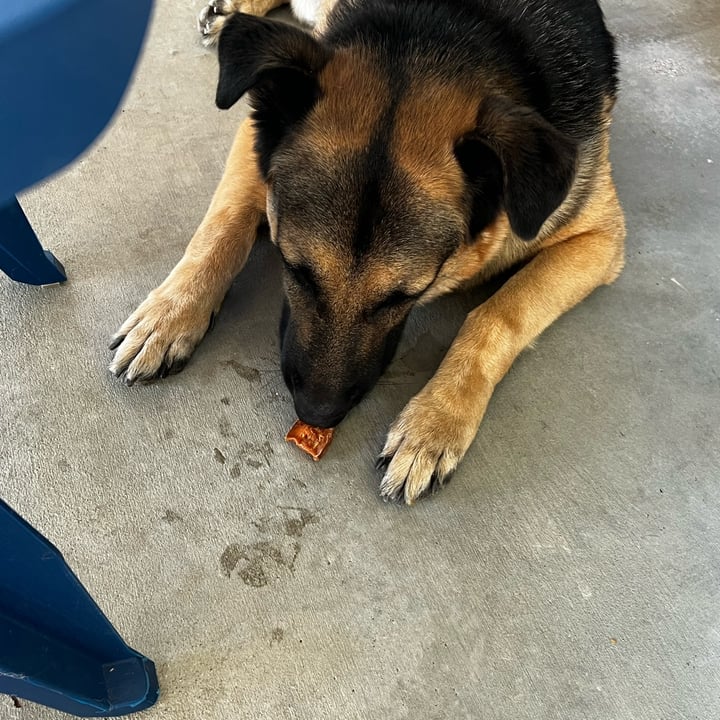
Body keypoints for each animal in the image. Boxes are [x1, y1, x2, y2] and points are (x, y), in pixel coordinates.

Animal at [109, 0, 628, 504]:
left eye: (404, 297)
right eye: (294, 268)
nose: (317, 414)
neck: (442, 30)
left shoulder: (600, 239)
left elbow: (498, 314)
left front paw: (435, 422)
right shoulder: (252, 140)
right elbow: (223, 226)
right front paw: (169, 315)